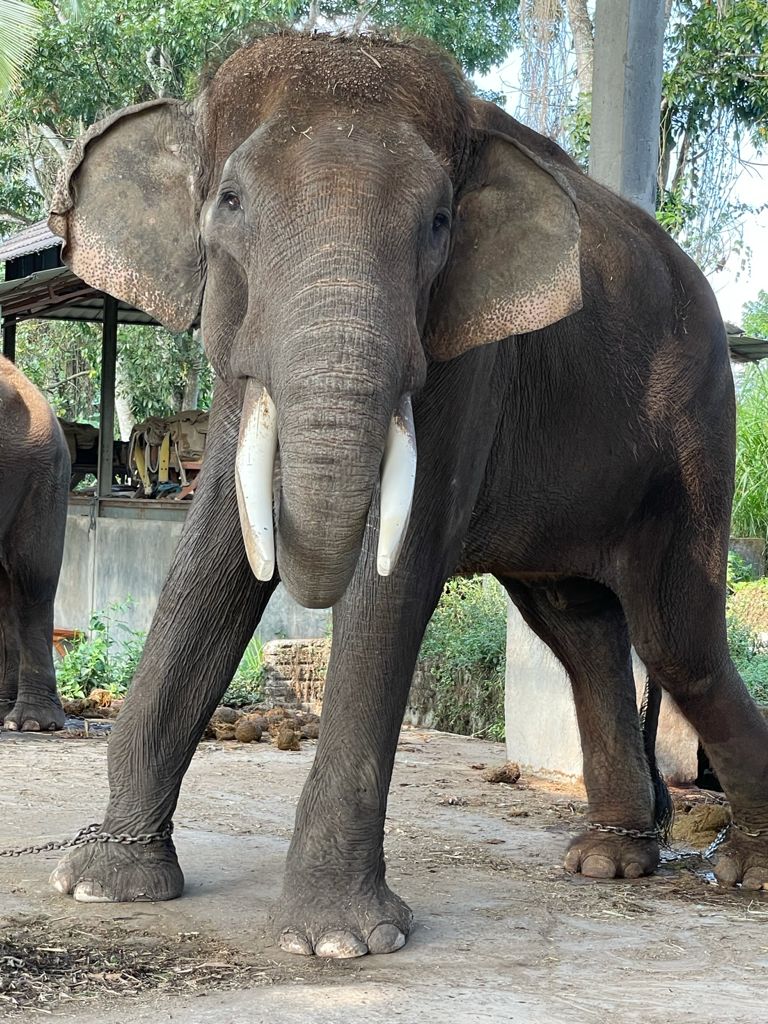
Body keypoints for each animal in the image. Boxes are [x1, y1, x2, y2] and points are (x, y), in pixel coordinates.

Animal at [48, 31, 768, 956]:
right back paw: (611, 859)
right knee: (579, 625)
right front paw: (101, 883)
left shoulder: (468, 356)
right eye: (230, 201)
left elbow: (391, 579)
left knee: (678, 641)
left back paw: (739, 868)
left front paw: (338, 942)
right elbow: (211, 562)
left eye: (439, 224)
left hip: (697, 434)